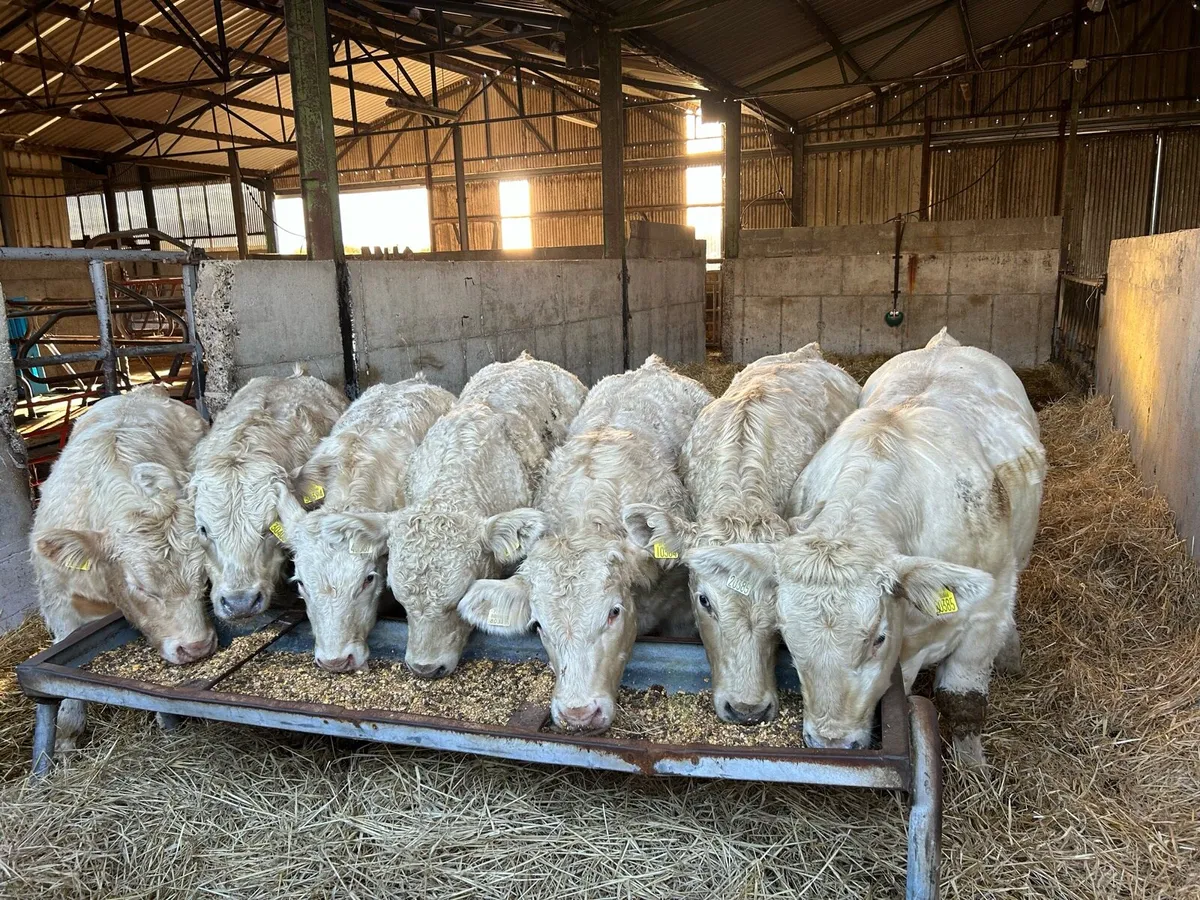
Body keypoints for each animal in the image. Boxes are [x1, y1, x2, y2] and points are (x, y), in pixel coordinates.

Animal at [689, 329, 1045, 765]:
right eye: (789, 639)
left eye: (878, 638)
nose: (832, 744)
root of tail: (944, 344)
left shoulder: (984, 618)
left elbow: (963, 702)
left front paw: (973, 766)